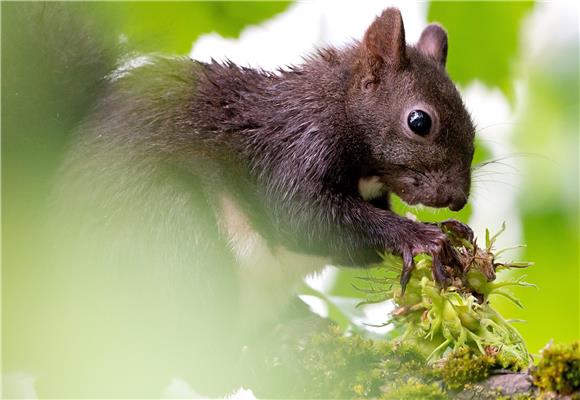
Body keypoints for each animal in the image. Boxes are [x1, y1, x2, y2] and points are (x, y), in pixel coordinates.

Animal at [7, 5, 476, 396]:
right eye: (419, 121)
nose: (457, 199)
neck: (335, 107)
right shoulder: (293, 151)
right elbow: (302, 220)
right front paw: (419, 236)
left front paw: (450, 236)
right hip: (170, 237)